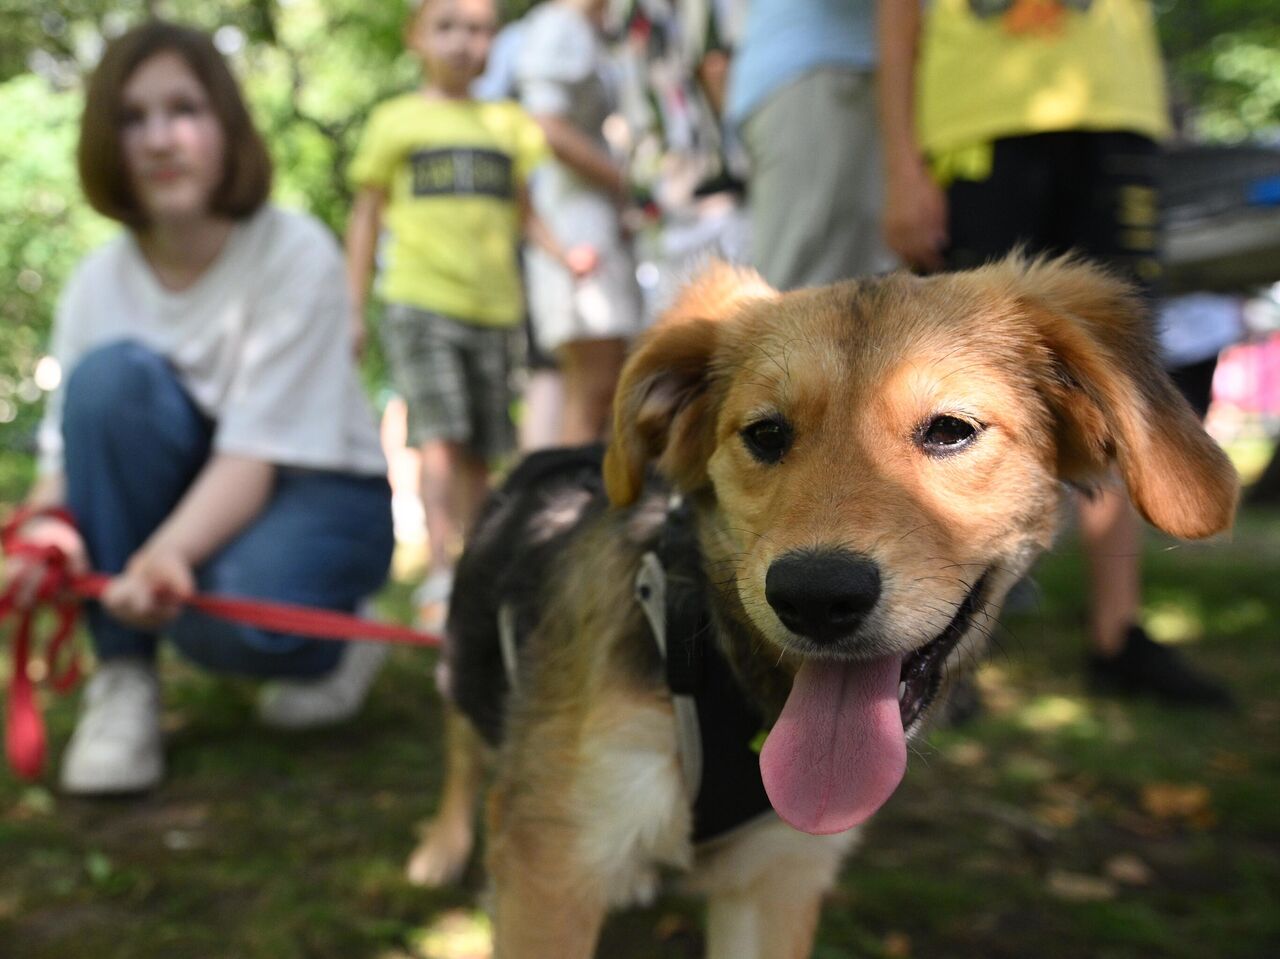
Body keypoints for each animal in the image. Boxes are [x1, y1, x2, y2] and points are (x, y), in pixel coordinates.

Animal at [404, 254, 1233, 957]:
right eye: (766, 433)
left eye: (951, 430)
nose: (816, 596)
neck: (720, 671)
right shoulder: (553, 871)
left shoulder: (780, 877)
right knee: (460, 741)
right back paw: (440, 845)